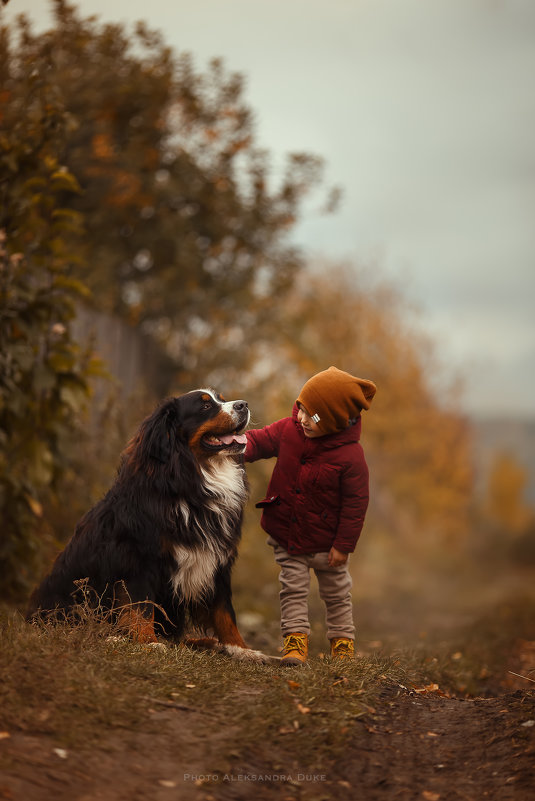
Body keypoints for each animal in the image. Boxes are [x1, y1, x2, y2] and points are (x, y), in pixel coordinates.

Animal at [26, 386, 262, 656]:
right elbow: (141, 605)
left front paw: (240, 648)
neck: (192, 481)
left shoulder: (217, 561)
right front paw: (147, 641)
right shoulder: (139, 558)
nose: (243, 405)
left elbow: (224, 610)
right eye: (204, 406)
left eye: (221, 399)